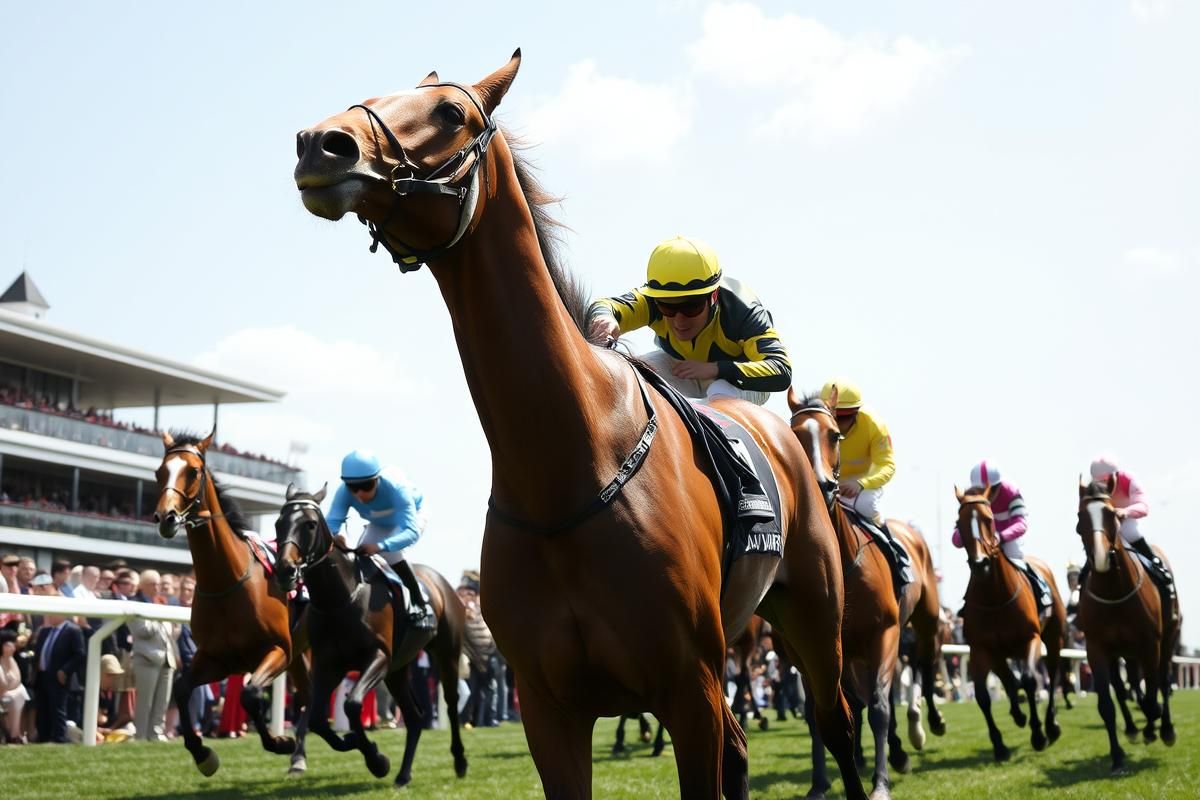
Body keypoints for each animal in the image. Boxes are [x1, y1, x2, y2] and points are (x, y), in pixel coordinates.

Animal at [152, 432, 310, 776]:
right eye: (160, 472)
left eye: (193, 471)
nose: (166, 517)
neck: (226, 582)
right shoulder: (216, 659)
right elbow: (182, 689)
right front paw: (202, 754)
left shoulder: (278, 650)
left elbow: (250, 694)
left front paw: (280, 742)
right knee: (306, 697)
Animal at [274, 484, 469, 787]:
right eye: (278, 523)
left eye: (310, 524)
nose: (285, 570)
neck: (340, 599)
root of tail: (443, 584)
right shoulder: (328, 664)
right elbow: (317, 719)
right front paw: (355, 742)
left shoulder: (378, 657)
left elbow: (352, 705)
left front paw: (377, 760)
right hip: (398, 669)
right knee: (414, 717)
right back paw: (403, 775)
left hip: (446, 654)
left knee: (449, 705)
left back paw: (459, 761)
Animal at [789, 389, 944, 800]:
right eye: (795, 433)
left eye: (834, 435)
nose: (823, 485)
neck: (845, 563)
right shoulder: (820, 646)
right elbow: (823, 713)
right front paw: (819, 784)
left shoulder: (884, 633)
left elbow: (878, 707)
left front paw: (881, 783)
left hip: (925, 621)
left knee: (923, 667)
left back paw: (928, 726)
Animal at [954, 486, 1066, 761]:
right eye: (959, 524)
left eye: (989, 519)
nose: (980, 563)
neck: (995, 597)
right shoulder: (980, 648)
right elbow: (983, 695)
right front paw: (999, 745)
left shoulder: (1030, 638)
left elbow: (1030, 680)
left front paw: (1038, 735)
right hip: (999, 652)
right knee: (1008, 679)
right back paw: (1018, 714)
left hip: (1053, 639)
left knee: (1052, 675)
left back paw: (1051, 725)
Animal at [1075, 478, 1180, 773]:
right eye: (1080, 517)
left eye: (1111, 514)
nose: (1101, 558)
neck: (1114, 594)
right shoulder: (1097, 649)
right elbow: (1107, 704)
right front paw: (1117, 756)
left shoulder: (1150, 644)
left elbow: (1153, 696)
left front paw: (1153, 728)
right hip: (1125, 654)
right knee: (1127, 687)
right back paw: (1135, 729)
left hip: (1168, 638)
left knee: (1163, 680)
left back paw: (1164, 730)